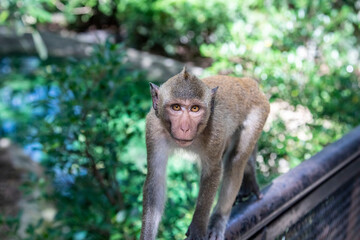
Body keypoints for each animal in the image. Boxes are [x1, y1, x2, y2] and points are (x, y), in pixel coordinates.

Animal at [141, 67, 270, 240]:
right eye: (176, 107)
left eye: (195, 108)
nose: (185, 128)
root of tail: (248, 81)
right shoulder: (153, 128)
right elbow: (156, 178)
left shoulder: (215, 130)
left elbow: (213, 171)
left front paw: (197, 229)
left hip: (259, 110)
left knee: (235, 160)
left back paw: (218, 219)